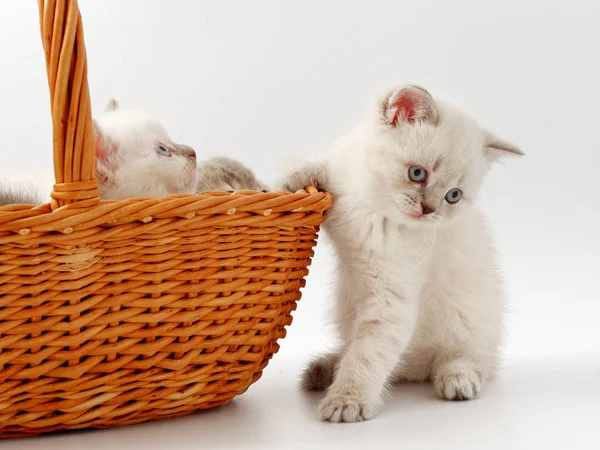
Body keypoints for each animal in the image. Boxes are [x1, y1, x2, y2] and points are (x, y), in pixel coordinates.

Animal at [278, 86, 524, 424]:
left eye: (453, 196)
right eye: (417, 173)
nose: (429, 209)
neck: (371, 204)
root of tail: (416, 368)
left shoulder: (390, 298)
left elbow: (366, 356)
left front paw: (347, 401)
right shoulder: (343, 169)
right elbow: (321, 163)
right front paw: (294, 179)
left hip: (471, 325)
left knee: (472, 361)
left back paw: (458, 380)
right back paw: (322, 368)